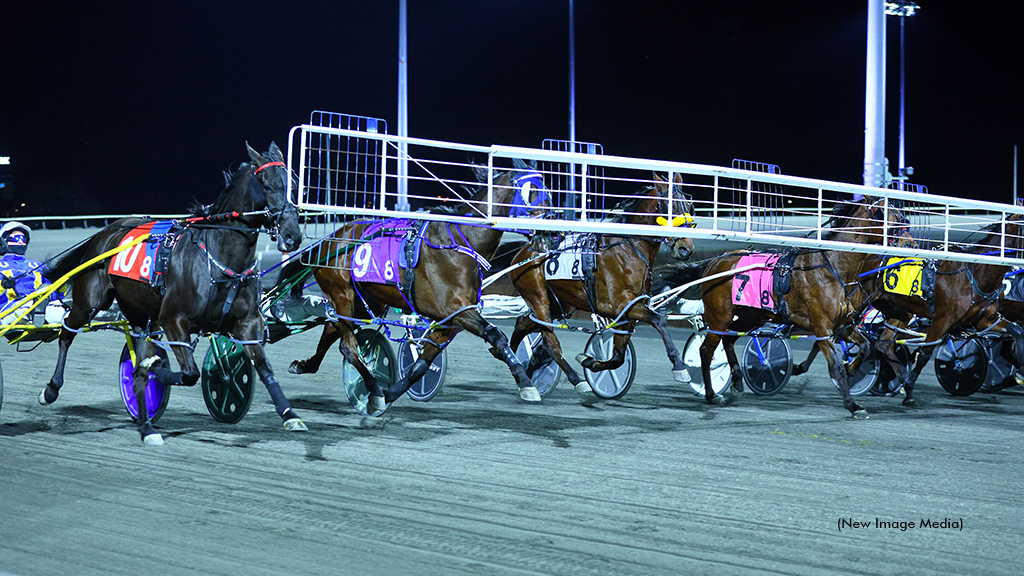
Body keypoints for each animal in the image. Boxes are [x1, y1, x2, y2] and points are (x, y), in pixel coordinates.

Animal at [284, 156, 548, 407]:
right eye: (532, 191)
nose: (549, 229)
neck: (461, 241)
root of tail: (327, 241)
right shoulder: (457, 309)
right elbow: (496, 335)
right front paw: (525, 382)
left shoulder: (449, 320)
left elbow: (421, 365)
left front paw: (392, 392)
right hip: (341, 293)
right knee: (347, 347)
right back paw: (373, 388)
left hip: (367, 302)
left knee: (331, 328)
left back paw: (305, 365)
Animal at [503, 170, 696, 397]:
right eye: (667, 206)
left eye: (689, 205)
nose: (685, 248)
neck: (629, 249)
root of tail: (524, 251)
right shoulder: (620, 305)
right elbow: (659, 320)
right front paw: (679, 367)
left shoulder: (629, 310)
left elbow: (618, 357)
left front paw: (590, 362)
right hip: (538, 297)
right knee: (550, 343)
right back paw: (575, 379)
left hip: (560, 305)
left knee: (521, 323)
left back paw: (519, 368)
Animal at [696, 199, 897, 414]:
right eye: (883, 212)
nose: (901, 232)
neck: (833, 267)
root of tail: (715, 262)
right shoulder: (822, 328)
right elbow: (835, 366)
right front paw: (852, 404)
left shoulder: (843, 325)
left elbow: (866, 347)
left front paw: (851, 368)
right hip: (719, 318)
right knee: (706, 350)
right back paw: (711, 394)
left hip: (751, 316)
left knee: (729, 339)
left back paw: (737, 382)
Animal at [864, 215, 1024, 403]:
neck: (977, 271)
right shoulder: (943, 319)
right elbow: (925, 353)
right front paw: (909, 387)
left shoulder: (984, 319)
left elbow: (1016, 331)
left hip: (902, 310)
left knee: (884, 344)